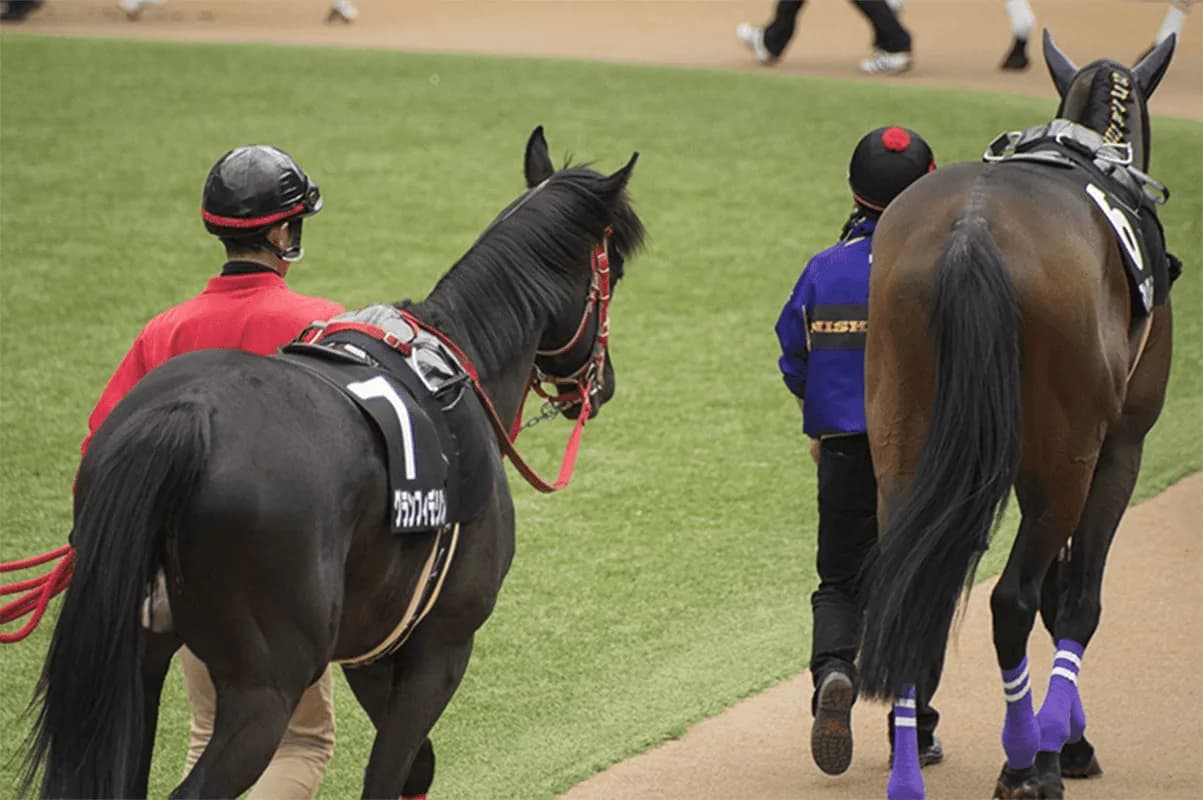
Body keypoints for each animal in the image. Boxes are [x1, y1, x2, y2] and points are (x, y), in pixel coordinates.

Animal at [22, 126, 645, 799]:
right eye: (615, 271)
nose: (602, 386)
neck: (454, 365)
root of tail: (186, 417)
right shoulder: (442, 644)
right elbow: (392, 770)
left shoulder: (370, 647)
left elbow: (416, 764)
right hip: (267, 687)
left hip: (136, 660)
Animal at [856, 32, 1178, 800]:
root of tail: (972, 229)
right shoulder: (1119, 446)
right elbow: (1074, 598)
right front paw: (1065, 745)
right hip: (1062, 460)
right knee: (1011, 599)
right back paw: (1025, 758)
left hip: (903, 440)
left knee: (905, 591)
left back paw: (909, 774)